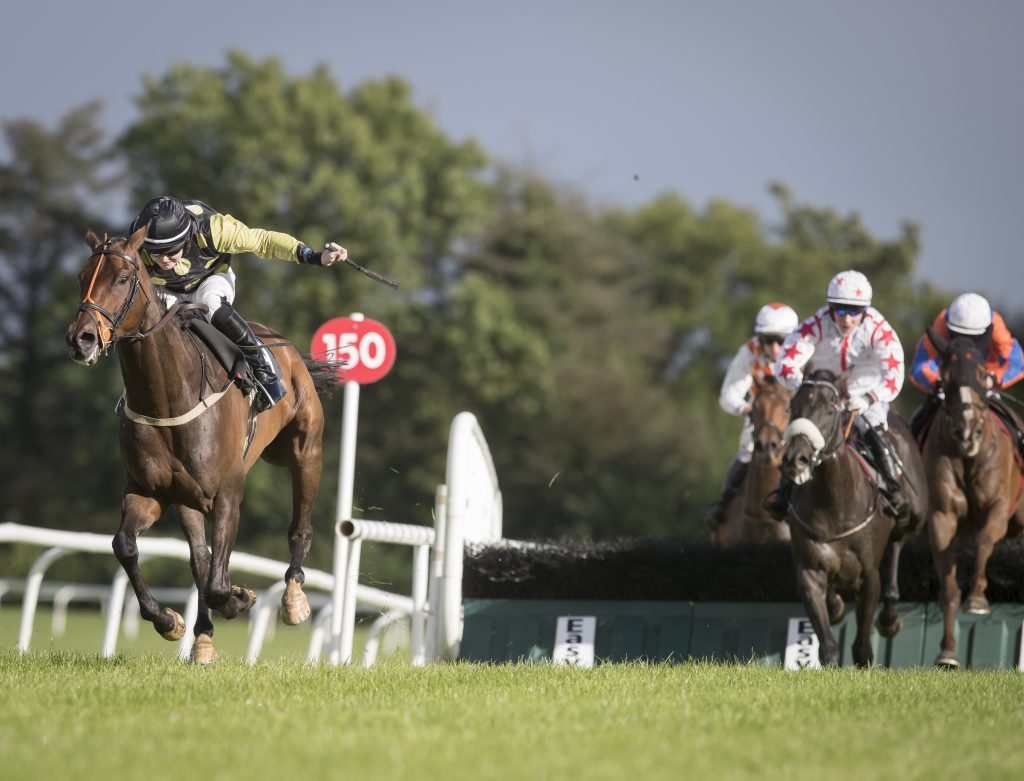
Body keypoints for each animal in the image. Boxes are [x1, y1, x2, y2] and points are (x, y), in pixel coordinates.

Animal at [65, 227, 339, 667]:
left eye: (122, 279)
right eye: (81, 278)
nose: (81, 339)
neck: (167, 396)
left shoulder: (227, 493)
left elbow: (217, 583)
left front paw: (240, 598)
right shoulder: (151, 492)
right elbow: (129, 547)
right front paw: (169, 621)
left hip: (304, 450)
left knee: (301, 527)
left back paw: (294, 599)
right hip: (190, 499)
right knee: (199, 559)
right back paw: (203, 638)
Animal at [782, 370, 929, 667]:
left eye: (829, 410)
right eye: (793, 407)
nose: (796, 459)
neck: (834, 506)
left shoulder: (869, 574)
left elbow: (862, 645)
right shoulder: (809, 571)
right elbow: (827, 643)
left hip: (915, 513)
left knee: (898, 542)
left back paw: (889, 617)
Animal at [921, 333, 1024, 667]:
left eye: (981, 373)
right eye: (944, 377)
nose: (966, 428)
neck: (968, 456)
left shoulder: (998, 508)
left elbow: (983, 541)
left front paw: (978, 598)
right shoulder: (941, 518)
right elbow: (949, 590)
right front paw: (948, 652)